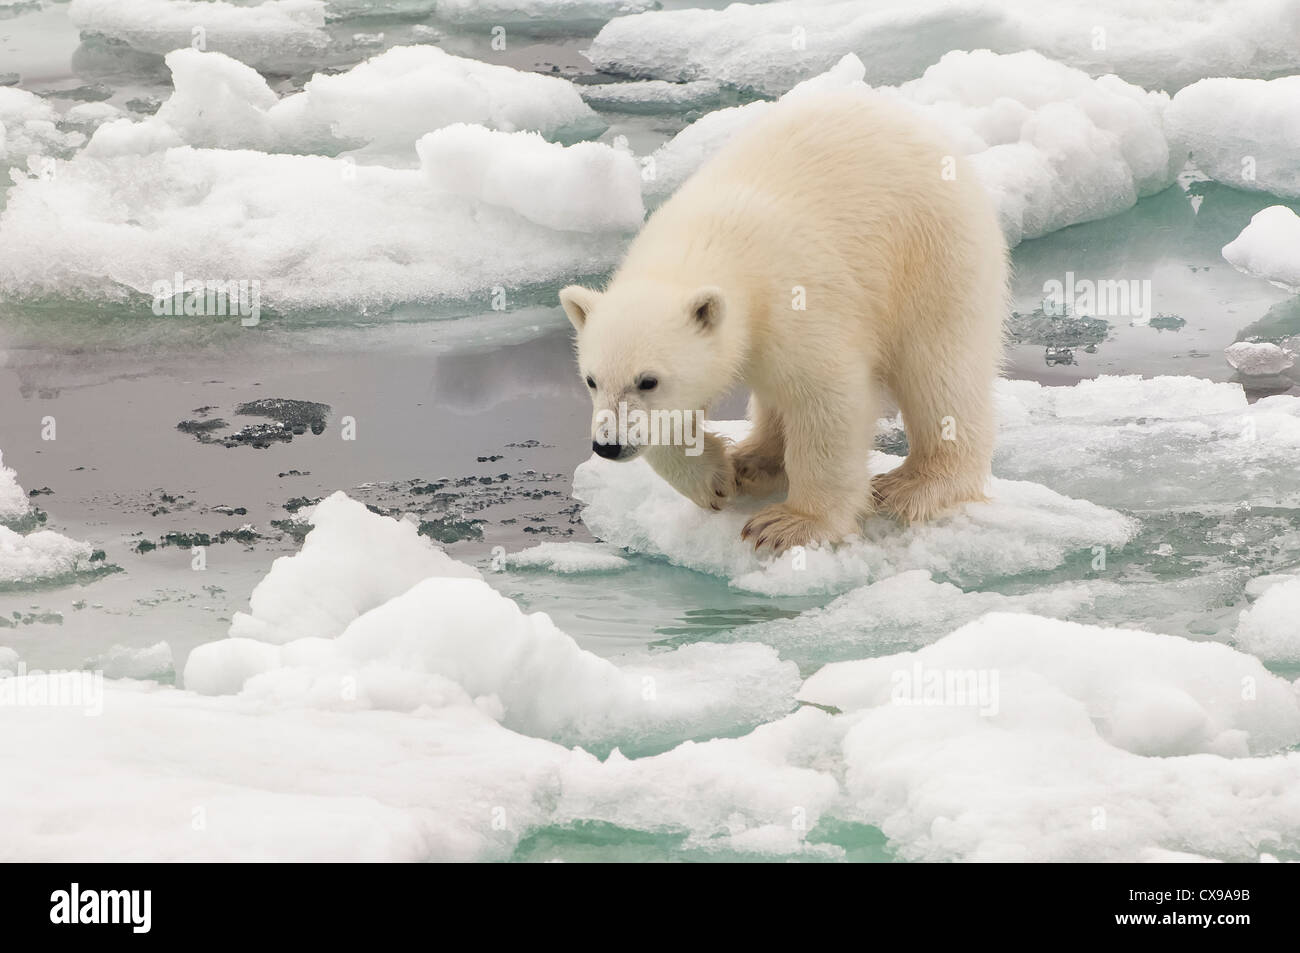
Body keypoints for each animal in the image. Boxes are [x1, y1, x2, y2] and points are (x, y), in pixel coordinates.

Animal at [560, 89, 1008, 554]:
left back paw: (916, 484)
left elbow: (827, 399)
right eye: (592, 380)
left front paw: (789, 524)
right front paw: (714, 478)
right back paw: (754, 460)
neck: (706, 243)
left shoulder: (796, 300)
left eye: (648, 381)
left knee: (938, 370)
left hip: (934, 256)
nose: (608, 445)